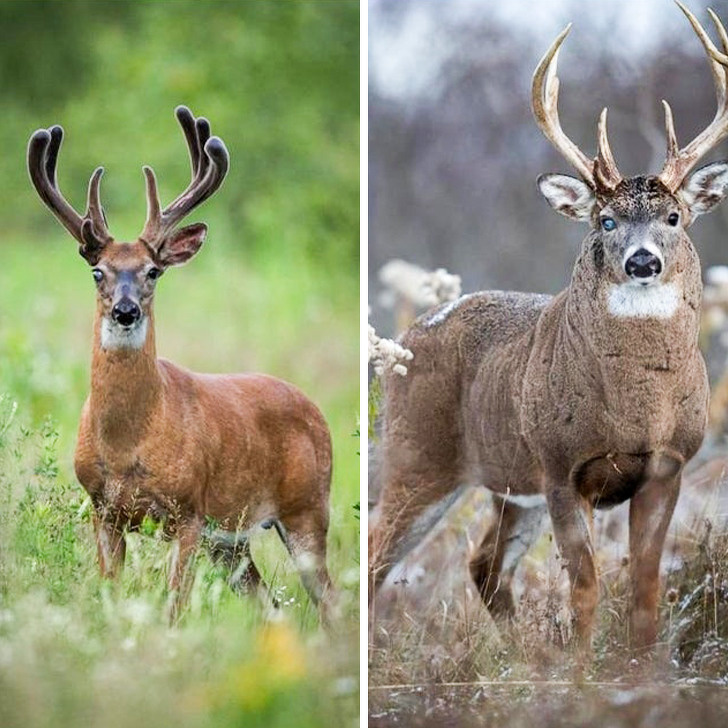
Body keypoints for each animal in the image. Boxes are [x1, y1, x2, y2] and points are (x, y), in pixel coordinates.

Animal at [27, 106, 334, 620]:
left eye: (153, 271)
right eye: (97, 272)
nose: (125, 311)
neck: (128, 443)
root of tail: (315, 409)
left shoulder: (189, 513)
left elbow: (173, 608)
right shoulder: (103, 511)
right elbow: (110, 597)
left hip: (307, 509)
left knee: (331, 603)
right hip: (230, 542)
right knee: (271, 605)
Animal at [372, 4, 728, 656]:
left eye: (674, 217)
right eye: (605, 220)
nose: (643, 261)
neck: (636, 409)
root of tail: (399, 345)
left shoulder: (669, 465)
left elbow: (645, 587)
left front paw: (641, 671)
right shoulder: (563, 467)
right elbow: (584, 587)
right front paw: (581, 672)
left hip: (511, 484)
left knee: (483, 565)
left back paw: (521, 654)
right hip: (421, 459)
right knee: (376, 555)